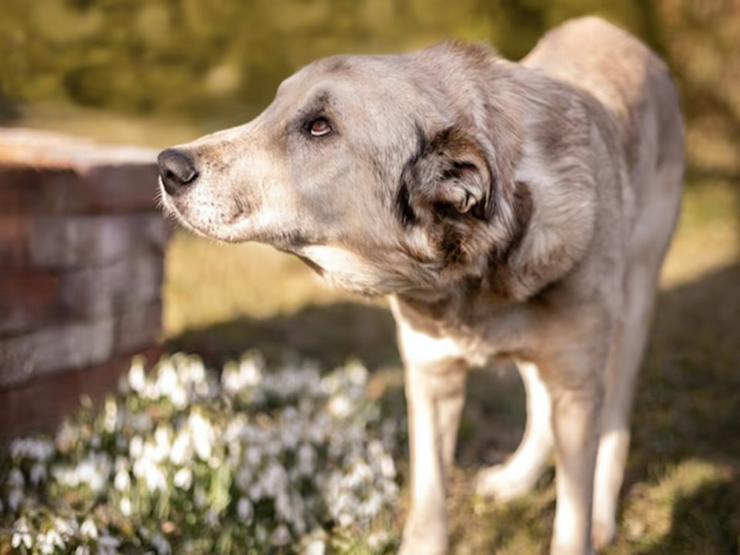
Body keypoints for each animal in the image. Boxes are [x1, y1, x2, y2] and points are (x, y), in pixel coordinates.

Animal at [156, 17, 684, 555]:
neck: (472, 278)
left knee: (613, 423)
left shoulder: (577, 386)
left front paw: (583, 518)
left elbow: (571, 518)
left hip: (626, 324)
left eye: (319, 126)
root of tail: (611, 31)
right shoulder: (431, 380)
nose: (167, 167)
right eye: (273, 108)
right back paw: (516, 479)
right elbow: (429, 503)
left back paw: (601, 514)